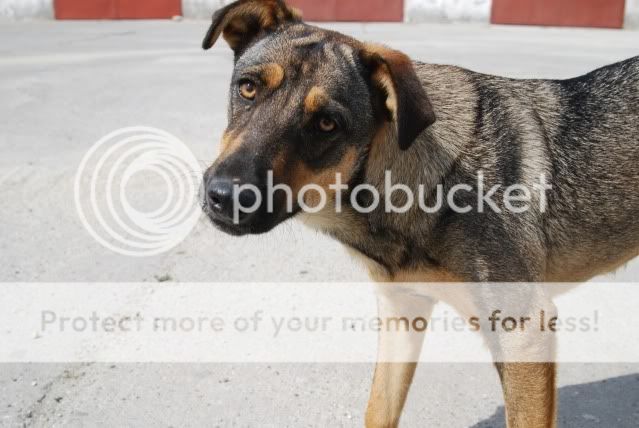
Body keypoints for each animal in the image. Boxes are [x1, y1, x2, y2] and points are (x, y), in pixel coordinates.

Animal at [200, 1, 639, 426]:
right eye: (248, 87)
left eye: (327, 123)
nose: (224, 196)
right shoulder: (401, 313)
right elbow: (378, 410)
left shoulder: (524, 330)